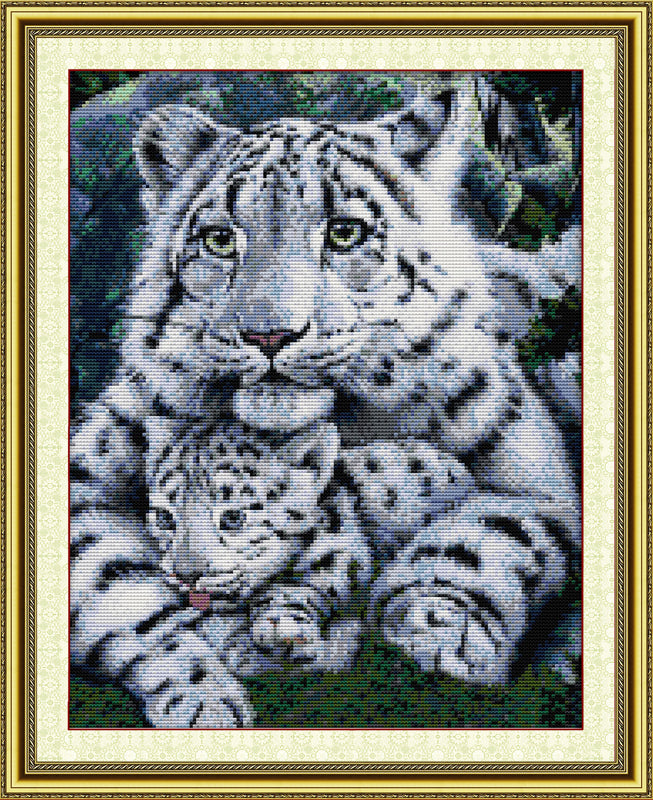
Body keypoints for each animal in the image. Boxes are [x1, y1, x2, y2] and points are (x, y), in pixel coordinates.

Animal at [70, 78, 581, 728]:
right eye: (219, 239)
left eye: (345, 231)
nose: (269, 334)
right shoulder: (87, 484)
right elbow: (122, 592)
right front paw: (204, 695)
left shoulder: (539, 483)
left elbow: (489, 532)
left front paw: (437, 632)